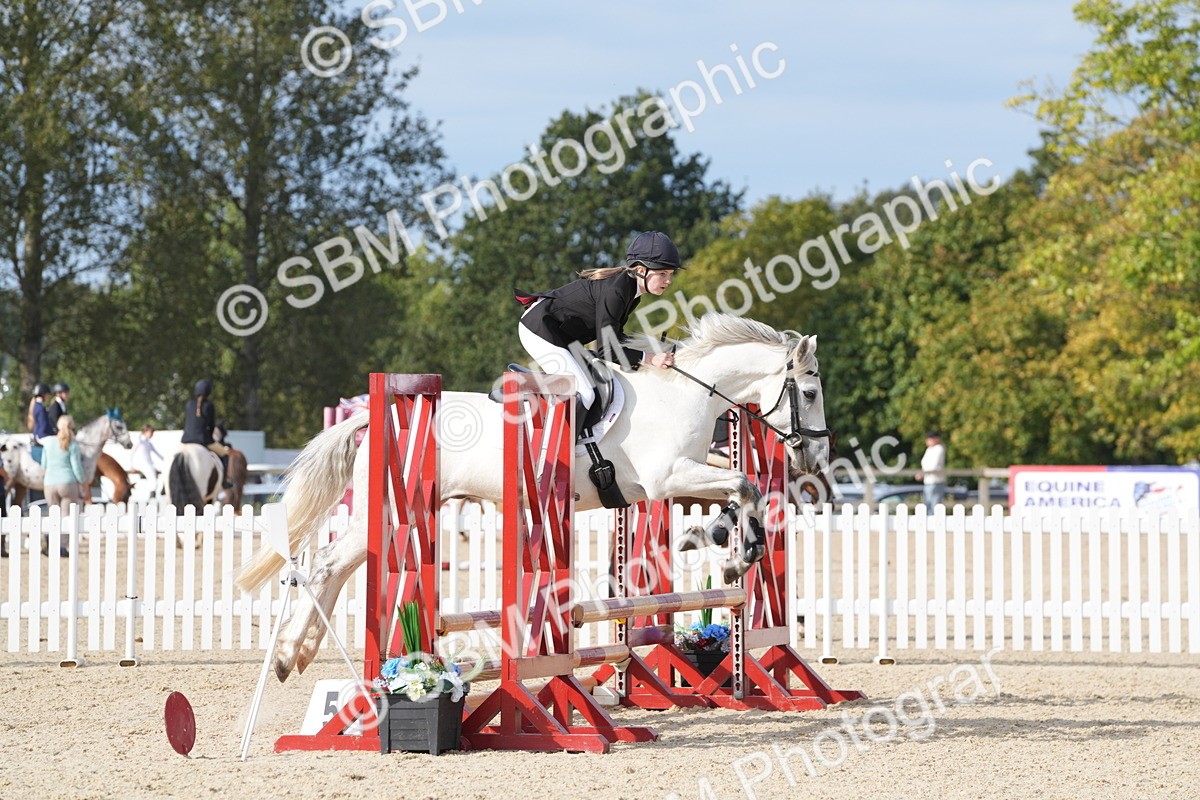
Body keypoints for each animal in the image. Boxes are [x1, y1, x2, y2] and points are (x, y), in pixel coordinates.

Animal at [0, 410, 133, 509]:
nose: (129, 444)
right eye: (119, 426)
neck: (86, 450)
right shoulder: (84, 486)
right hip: (8, 481)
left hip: (20, 484)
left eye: (129, 497)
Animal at [235, 313, 833, 683]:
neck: (685, 395)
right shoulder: (667, 479)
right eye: (808, 392)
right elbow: (745, 485)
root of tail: (371, 416)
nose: (814, 458)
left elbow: (740, 486)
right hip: (381, 516)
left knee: (333, 569)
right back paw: (290, 655)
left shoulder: (682, 476)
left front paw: (714, 540)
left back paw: (298, 655)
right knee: (325, 566)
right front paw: (739, 556)